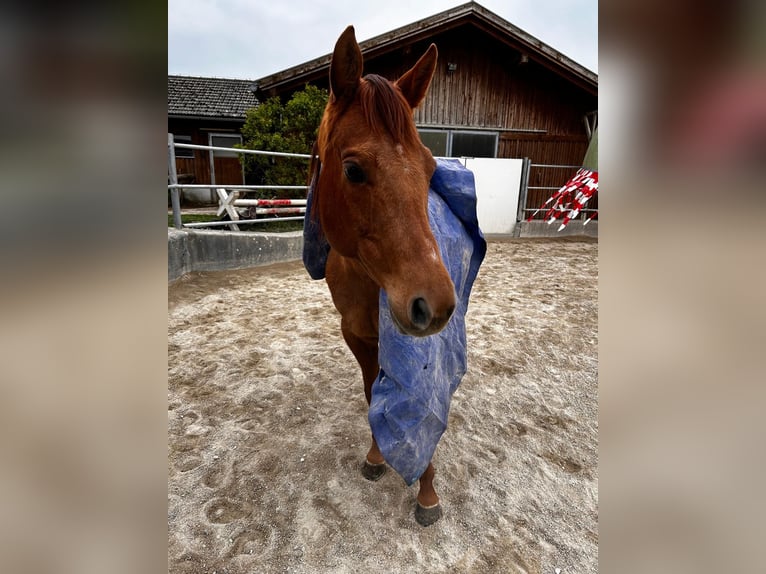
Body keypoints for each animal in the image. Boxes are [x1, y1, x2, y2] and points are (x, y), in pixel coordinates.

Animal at [306, 26, 457, 526]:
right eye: (353, 169)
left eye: (429, 168)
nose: (436, 304)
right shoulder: (356, 334)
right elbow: (374, 394)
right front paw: (376, 458)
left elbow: (425, 410)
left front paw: (426, 492)